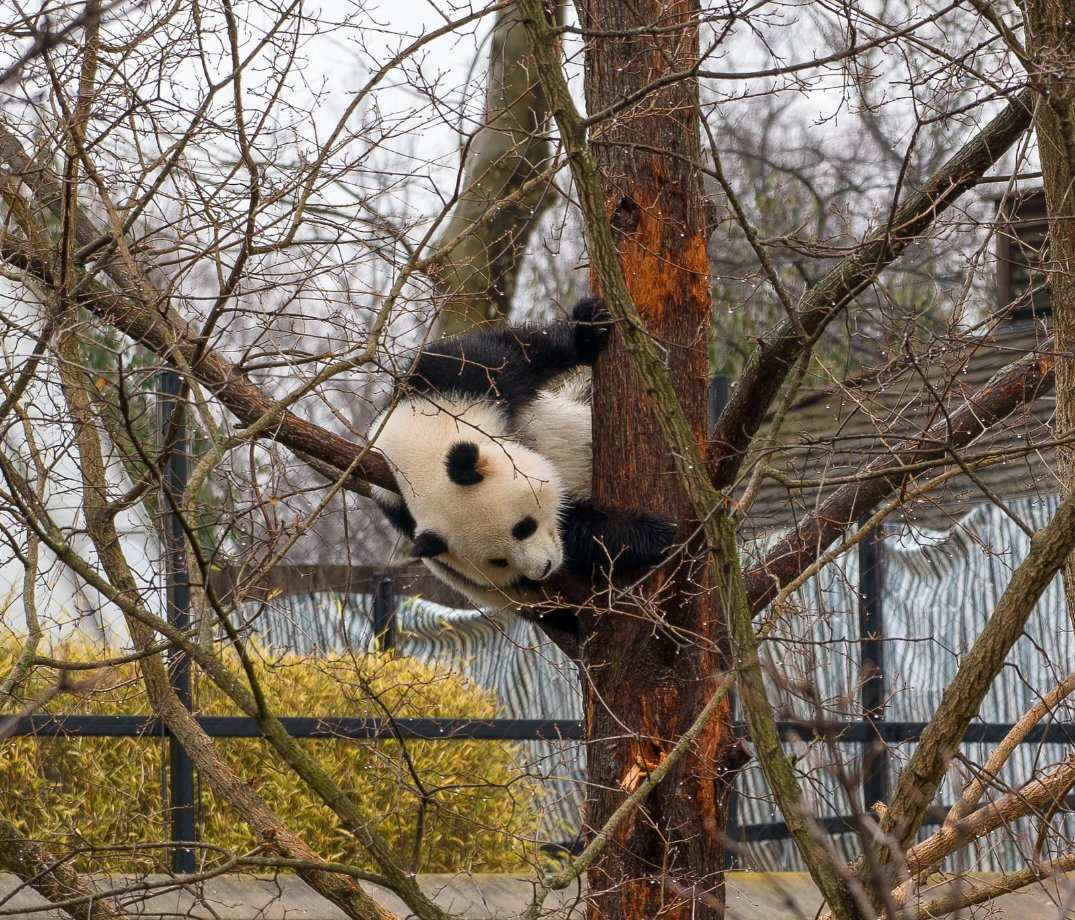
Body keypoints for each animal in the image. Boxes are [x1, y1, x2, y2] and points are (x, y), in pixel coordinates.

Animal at [365, 296, 675, 610]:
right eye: (499, 561)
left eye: (523, 527)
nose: (544, 568)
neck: (418, 448)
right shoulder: (401, 511)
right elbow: (573, 527)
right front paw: (653, 534)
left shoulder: (451, 382)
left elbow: (520, 350)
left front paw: (590, 326)